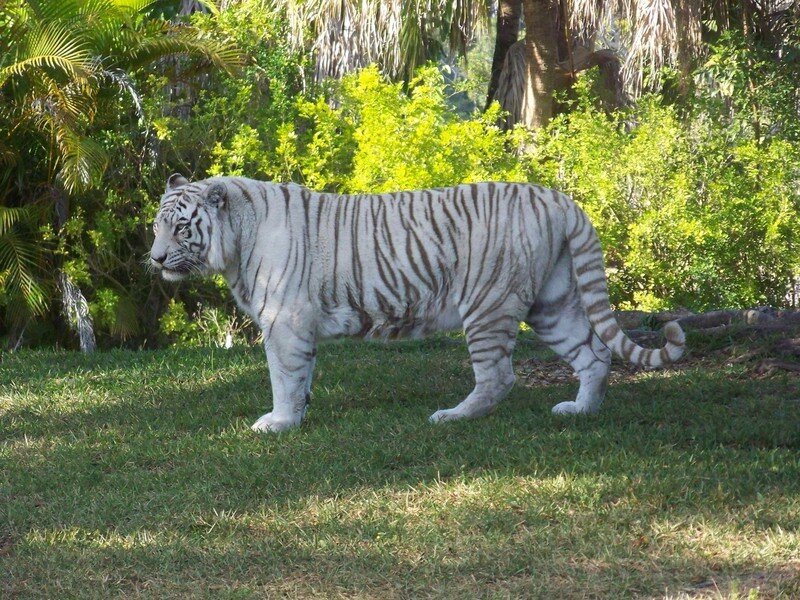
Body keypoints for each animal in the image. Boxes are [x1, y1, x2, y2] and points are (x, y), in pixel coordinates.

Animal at [150, 174, 685, 433]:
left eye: (180, 227)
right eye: (157, 225)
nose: (153, 258)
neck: (235, 241)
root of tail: (560, 200)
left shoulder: (285, 321)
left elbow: (284, 376)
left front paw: (278, 424)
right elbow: (302, 376)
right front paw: (299, 414)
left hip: (488, 305)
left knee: (499, 377)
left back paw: (452, 417)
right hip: (552, 303)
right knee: (593, 354)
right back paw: (580, 411)